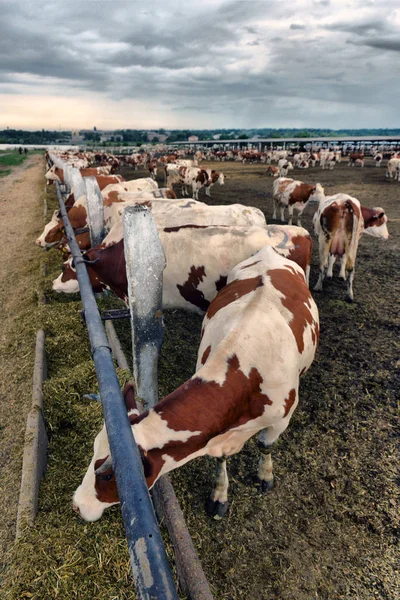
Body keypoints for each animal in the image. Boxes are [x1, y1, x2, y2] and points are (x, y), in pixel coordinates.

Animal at [73, 246, 320, 524]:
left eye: (106, 475)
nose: (77, 505)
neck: (245, 364)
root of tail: (268, 250)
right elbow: (222, 460)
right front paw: (220, 496)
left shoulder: (281, 419)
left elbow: (266, 445)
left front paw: (264, 475)